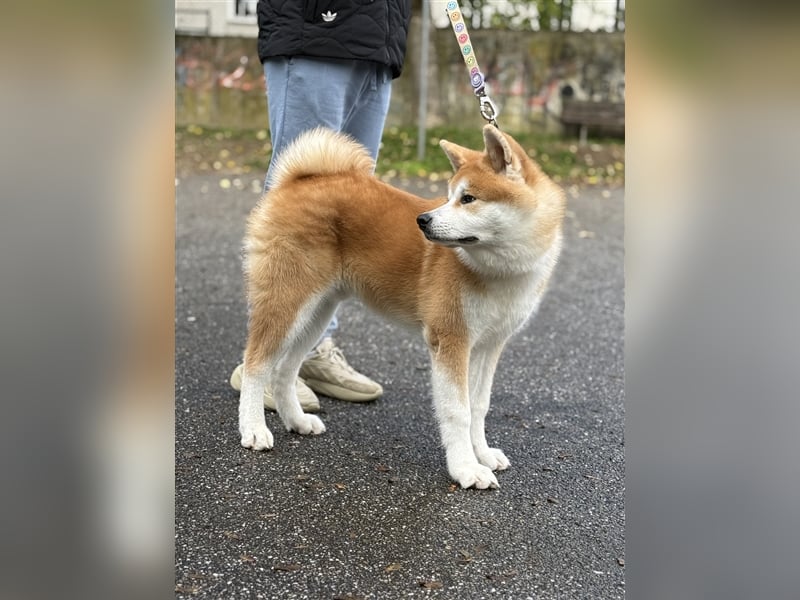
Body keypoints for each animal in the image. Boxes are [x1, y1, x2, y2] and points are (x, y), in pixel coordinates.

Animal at [236, 125, 564, 488]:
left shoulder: (489, 345)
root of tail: (299, 180)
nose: (423, 220)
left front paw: (483, 454)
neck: (498, 271)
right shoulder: (451, 340)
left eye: (467, 198)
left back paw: (297, 420)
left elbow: (478, 406)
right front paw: (466, 468)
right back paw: (253, 429)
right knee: (256, 363)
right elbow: (458, 411)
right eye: (450, 195)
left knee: (285, 369)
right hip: (288, 301)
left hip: (317, 313)